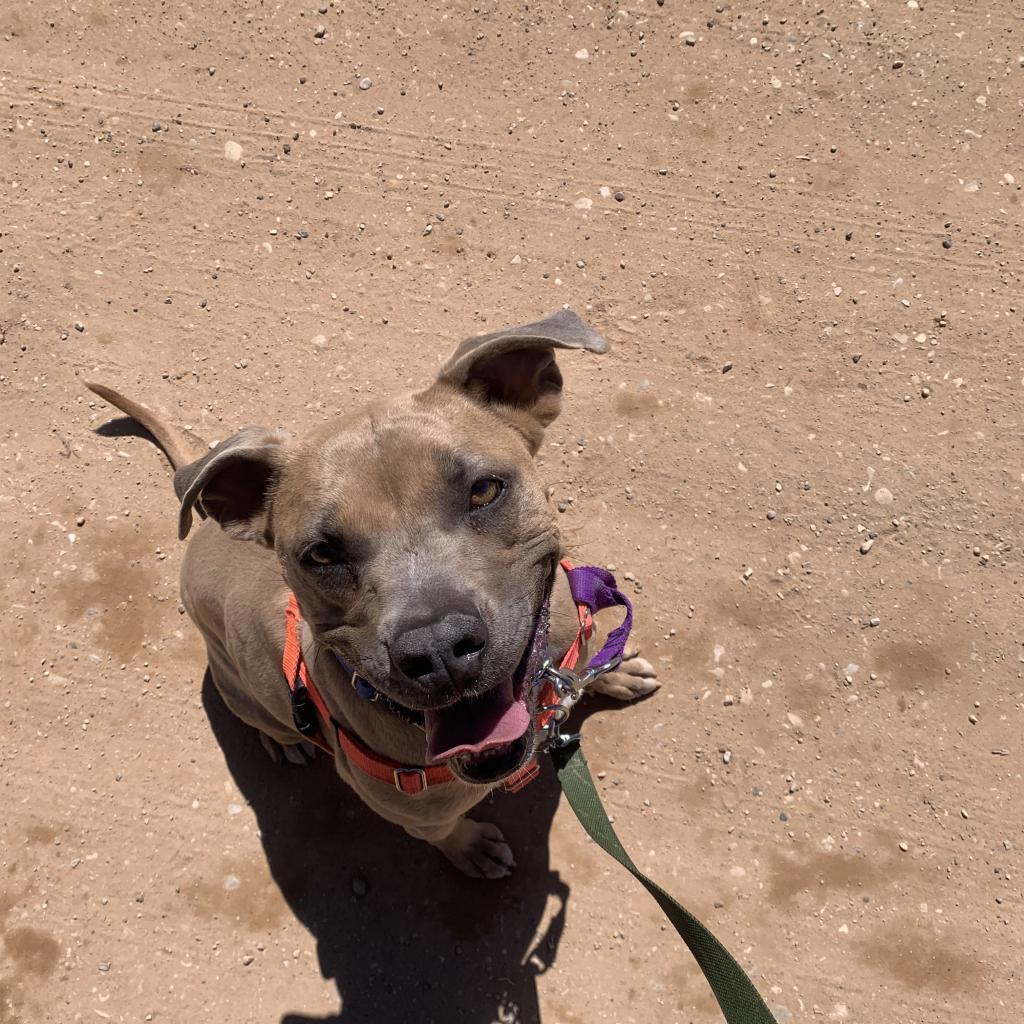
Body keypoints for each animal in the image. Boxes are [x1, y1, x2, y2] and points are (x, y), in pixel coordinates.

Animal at [83, 307, 651, 876]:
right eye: (320, 554)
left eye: (484, 490)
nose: (438, 651)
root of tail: (204, 526)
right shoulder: (415, 814)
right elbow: (444, 833)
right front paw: (470, 849)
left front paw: (614, 673)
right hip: (237, 685)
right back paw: (281, 740)